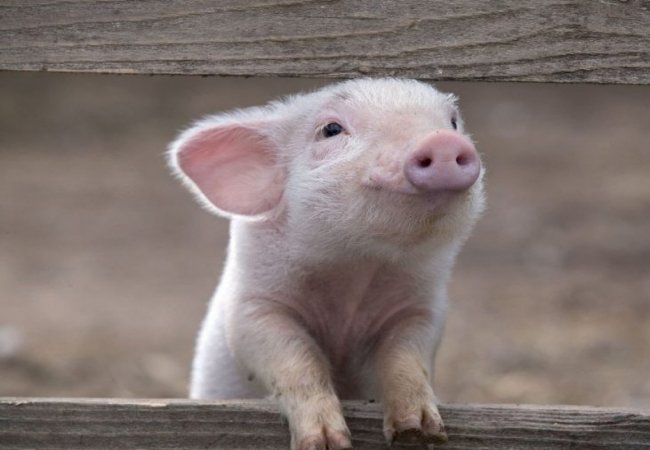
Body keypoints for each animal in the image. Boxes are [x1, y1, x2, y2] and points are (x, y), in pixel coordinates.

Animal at [168, 78, 485, 449]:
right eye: (331, 129)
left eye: (453, 122)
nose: (443, 140)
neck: (355, 272)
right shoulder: (253, 308)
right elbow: (296, 361)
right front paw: (325, 442)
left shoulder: (422, 311)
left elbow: (406, 358)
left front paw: (419, 431)